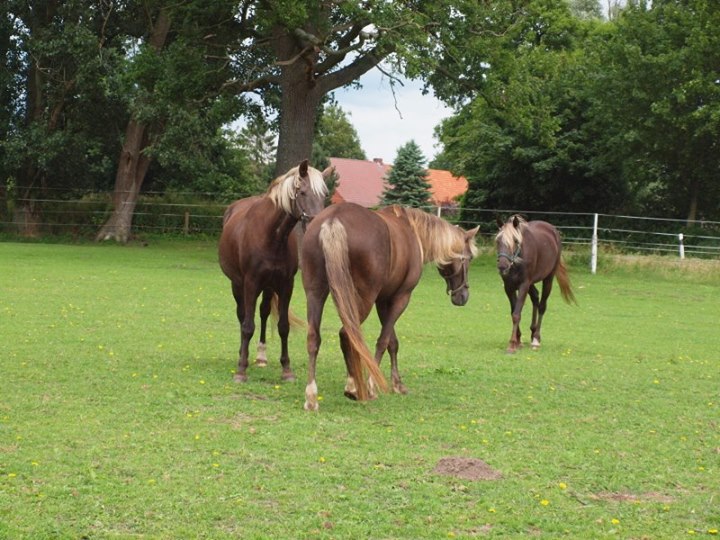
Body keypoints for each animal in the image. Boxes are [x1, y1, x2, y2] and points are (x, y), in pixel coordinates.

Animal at [219, 160, 332, 384]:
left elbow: (283, 326)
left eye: (325, 194)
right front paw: (241, 370)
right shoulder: (250, 283)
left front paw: (286, 369)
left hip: (268, 287)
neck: (271, 236)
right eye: (302, 192)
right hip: (237, 284)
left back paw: (261, 356)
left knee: (263, 312)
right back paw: (242, 354)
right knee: (242, 315)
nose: (317, 225)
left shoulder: (286, 285)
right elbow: (247, 326)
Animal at [300, 201, 480, 410]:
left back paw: (312, 396)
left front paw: (397, 383)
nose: (463, 295)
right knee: (348, 334)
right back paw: (354, 387)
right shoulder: (401, 298)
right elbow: (383, 341)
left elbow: (393, 342)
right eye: (469, 258)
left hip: (315, 292)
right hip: (362, 298)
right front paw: (372, 385)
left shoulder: (383, 300)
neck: (413, 231)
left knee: (314, 338)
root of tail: (333, 219)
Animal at [492, 215, 576, 354]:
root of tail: (553, 230)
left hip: (548, 278)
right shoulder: (509, 287)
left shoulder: (524, 285)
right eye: (498, 240)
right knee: (535, 297)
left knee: (542, 305)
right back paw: (532, 332)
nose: (503, 266)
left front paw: (512, 344)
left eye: (515, 240)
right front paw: (518, 341)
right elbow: (514, 311)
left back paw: (536, 339)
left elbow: (516, 314)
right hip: (531, 283)